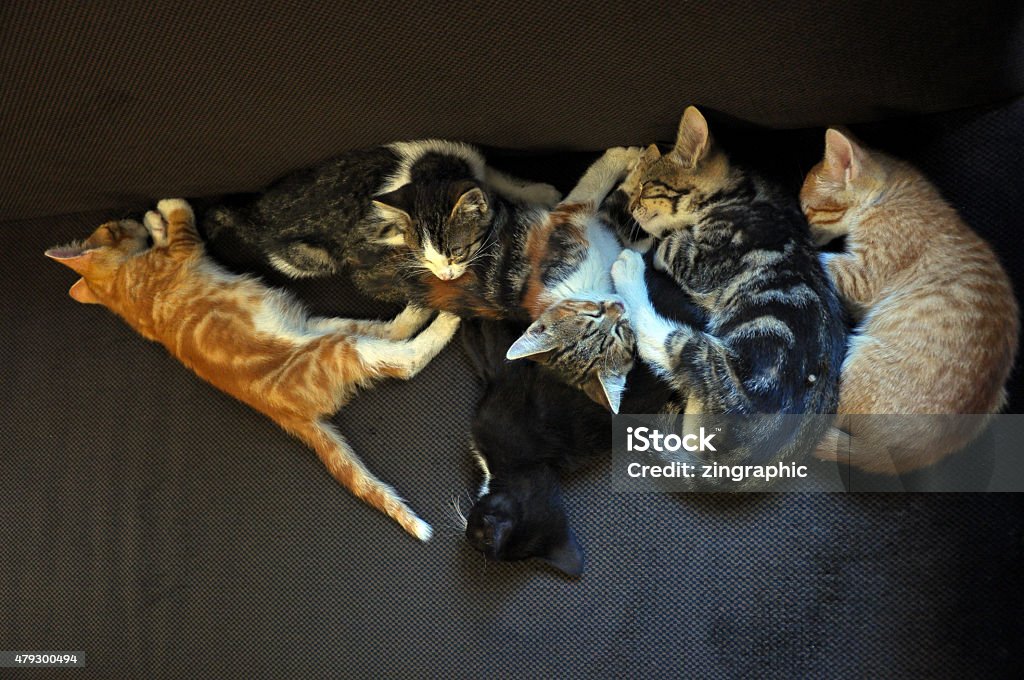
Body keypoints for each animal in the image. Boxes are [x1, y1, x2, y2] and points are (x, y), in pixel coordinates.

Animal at [45, 199, 460, 540]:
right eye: (112, 224)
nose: (126, 214)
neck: (121, 288)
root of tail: (285, 414)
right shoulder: (182, 250)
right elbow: (181, 220)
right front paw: (166, 208)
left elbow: (168, 231)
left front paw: (154, 220)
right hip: (339, 348)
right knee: (404, 360)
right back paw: (445, 320)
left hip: (327, 326)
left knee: (393, 330)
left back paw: (419, 309)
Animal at [610, 106, 843, 485]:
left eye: (646, 189)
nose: (630, 207)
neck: (740, 190)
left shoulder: (702, 263)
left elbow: (668, 242)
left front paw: (644, 239)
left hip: (721, 367)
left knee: (663, 341)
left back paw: (627, 269)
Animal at [802, 127, 1019, 473]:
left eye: (809, 210)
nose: (803, 228)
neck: (890, 194)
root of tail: (898, 456)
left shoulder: (863, 276)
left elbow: (826, 262)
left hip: (861, 359)